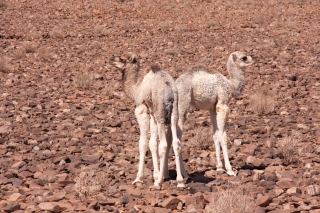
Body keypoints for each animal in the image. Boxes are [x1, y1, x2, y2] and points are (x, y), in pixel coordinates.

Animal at [110, 53, 188, 188]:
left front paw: (139, 178)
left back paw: (158, 183)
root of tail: (168, 89)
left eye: (122, 59)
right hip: (174, 112)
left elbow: (143, 143)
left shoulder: (141, 109)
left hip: (161, 112)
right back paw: (180, 182)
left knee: (164, 144)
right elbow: (152, 143)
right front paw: (155, 175)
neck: (136, 88)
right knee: (176, 143)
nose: (112, 59)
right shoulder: (152, 112)